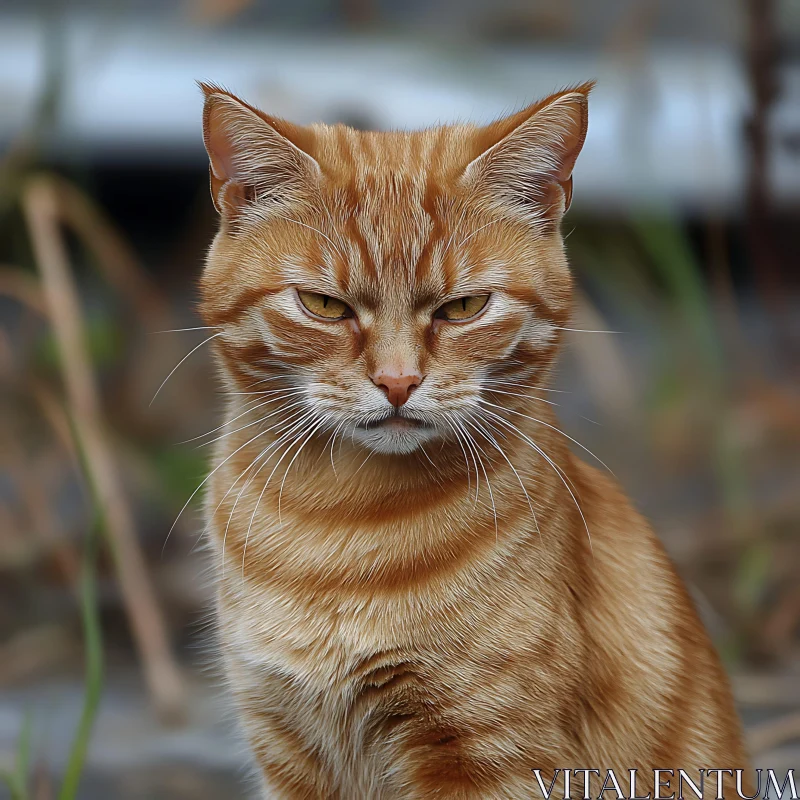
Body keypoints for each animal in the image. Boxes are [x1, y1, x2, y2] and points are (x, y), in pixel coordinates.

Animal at [198, 83, 752, 800]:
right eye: (324, 306)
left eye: (463, 308)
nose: (398, 381)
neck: (335, 525)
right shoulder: (287, 746)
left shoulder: (485, 753)